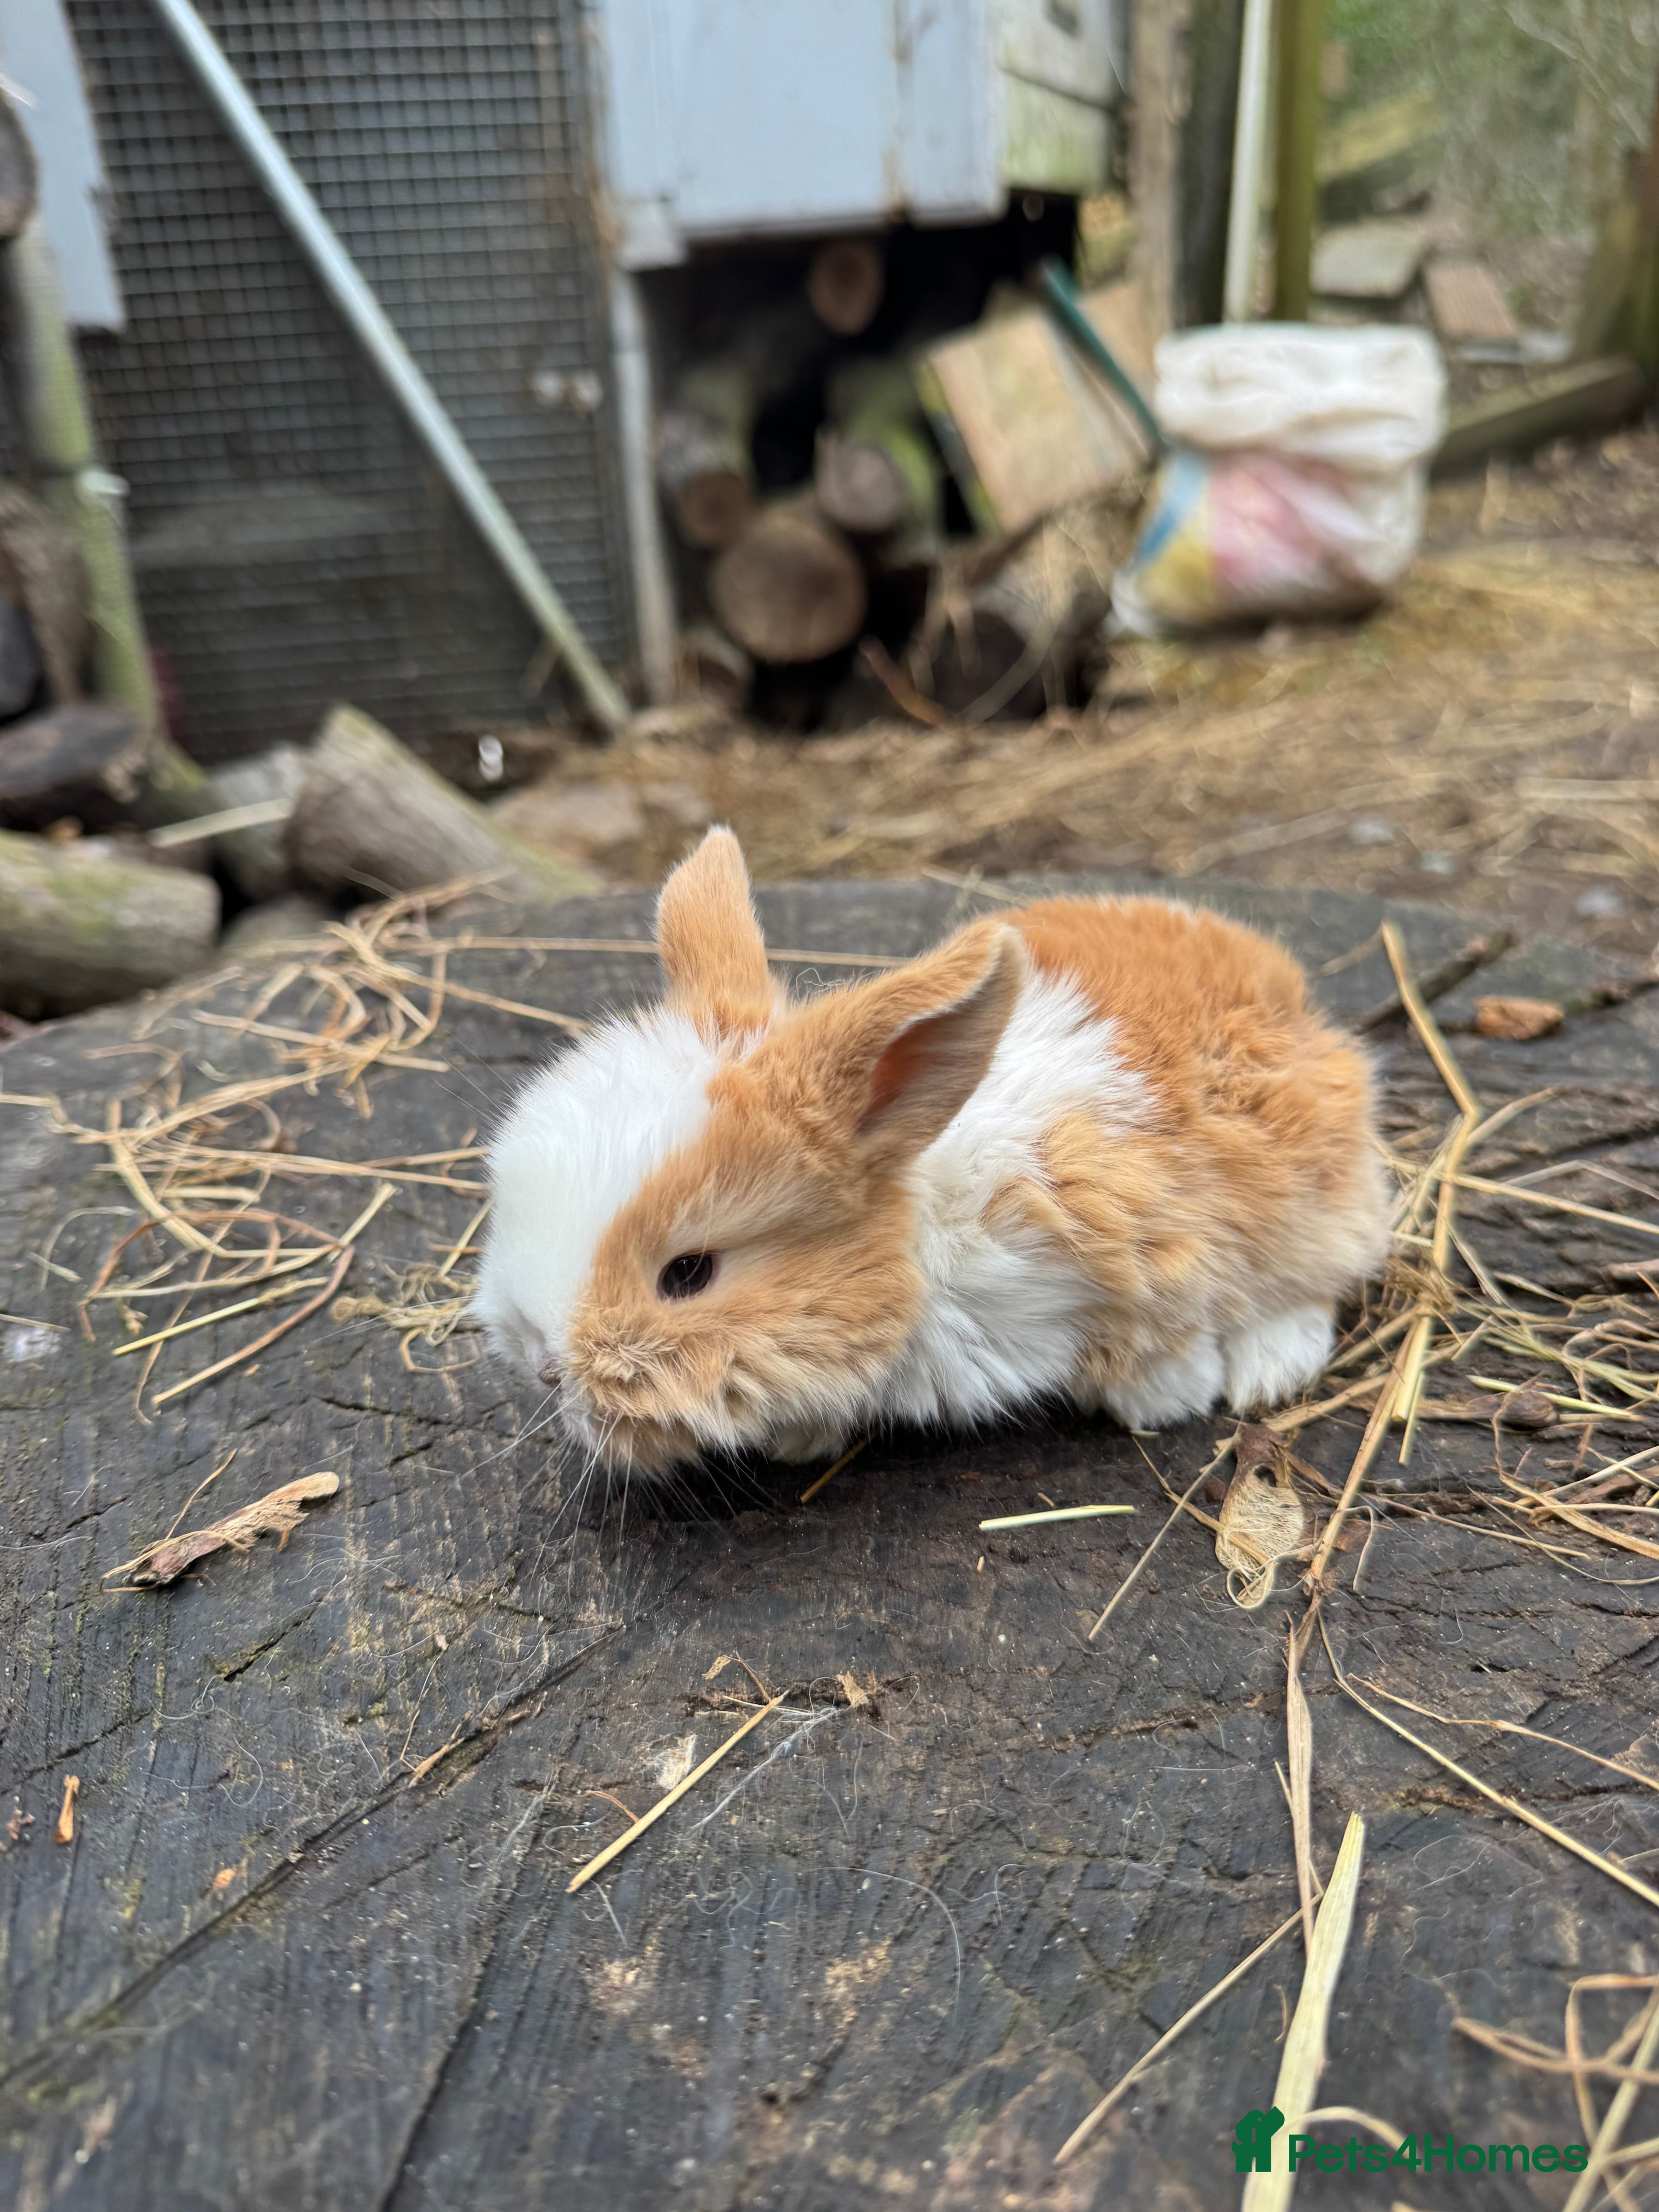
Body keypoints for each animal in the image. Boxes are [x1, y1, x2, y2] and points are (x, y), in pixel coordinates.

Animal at [473, 828, 1392, 1477]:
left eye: (688, 1274)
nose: (542, 1367)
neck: (920, 1226)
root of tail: (1282, 981)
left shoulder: (1147, 1246)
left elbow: (1164, 1338)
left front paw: (1165, 1400)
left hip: (1313, 1199)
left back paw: (1266, 1373)